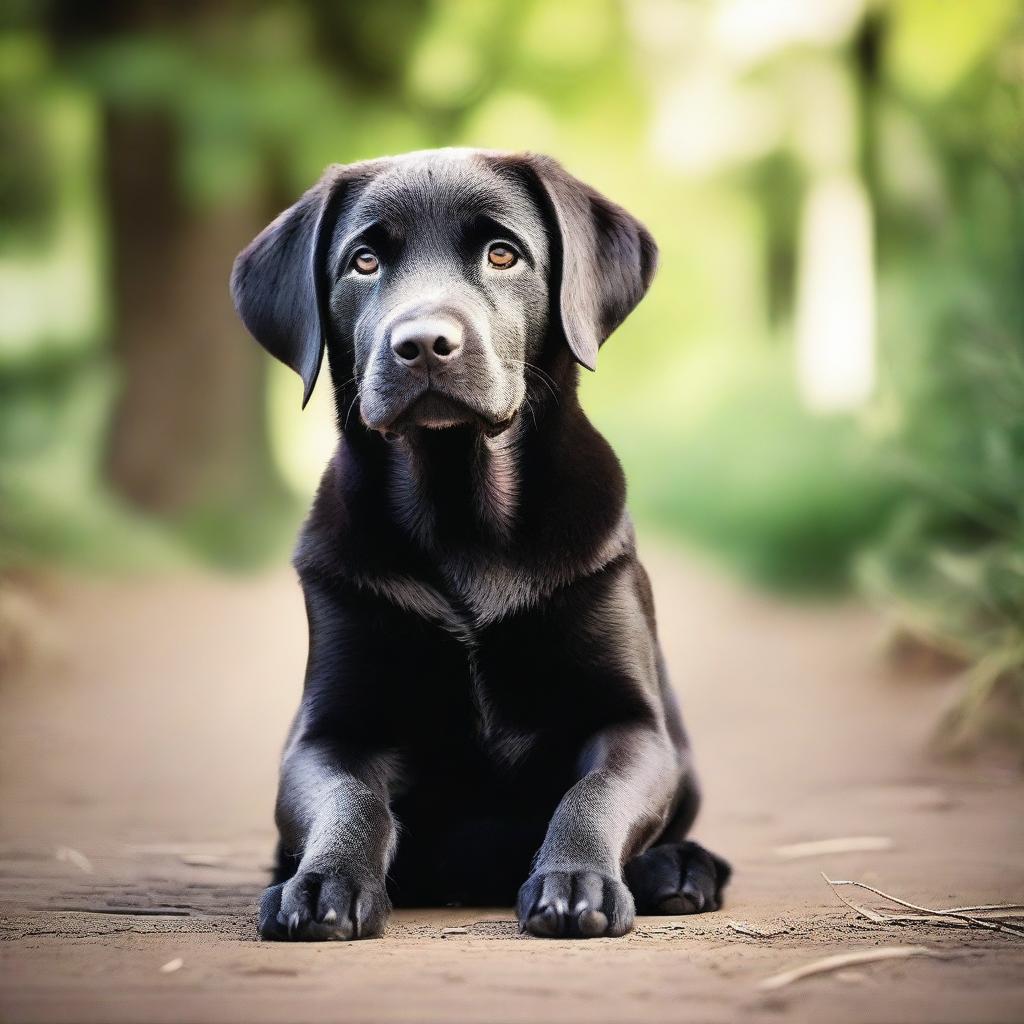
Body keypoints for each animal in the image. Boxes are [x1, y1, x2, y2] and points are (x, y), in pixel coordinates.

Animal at [232, 148, 729, 937]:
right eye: (364, 261)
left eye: (503, 253)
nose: (423, 345)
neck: (462, 519)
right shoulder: (326, 733)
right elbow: (350, 798)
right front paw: (322, 883)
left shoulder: (633, 724)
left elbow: (593, 793)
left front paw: (575, 882)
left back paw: (678, 869)